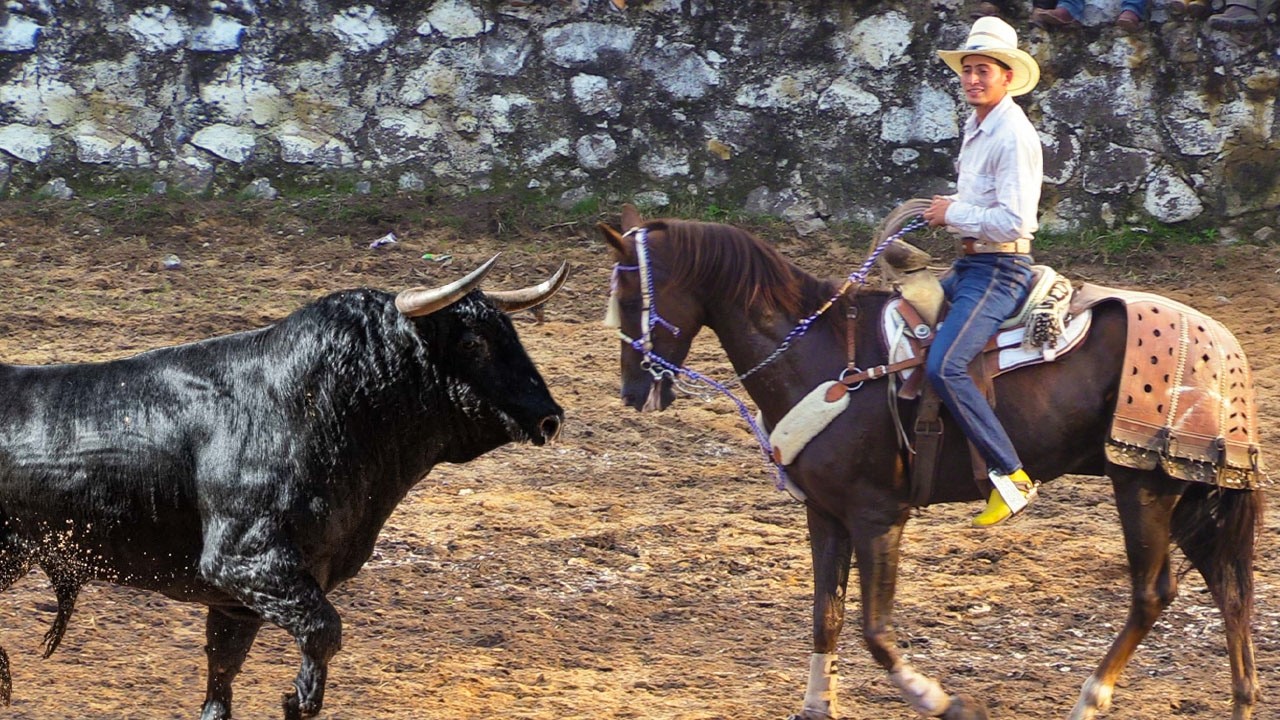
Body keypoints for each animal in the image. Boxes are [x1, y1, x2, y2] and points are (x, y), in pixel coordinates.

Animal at [597, 203, 1265, 720]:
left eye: (629, 295)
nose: (632, 392)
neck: (825, 357)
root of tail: (1223, 342)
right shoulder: (826, 515)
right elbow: (826, 617)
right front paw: (816, 705)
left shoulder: (877, 516)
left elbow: (874, 629)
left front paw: (943, 700)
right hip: (1187, 490)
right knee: (1229, 588)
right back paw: (1241, 701)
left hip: (1142, 483)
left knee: (1155, 592)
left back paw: (1089, 698)